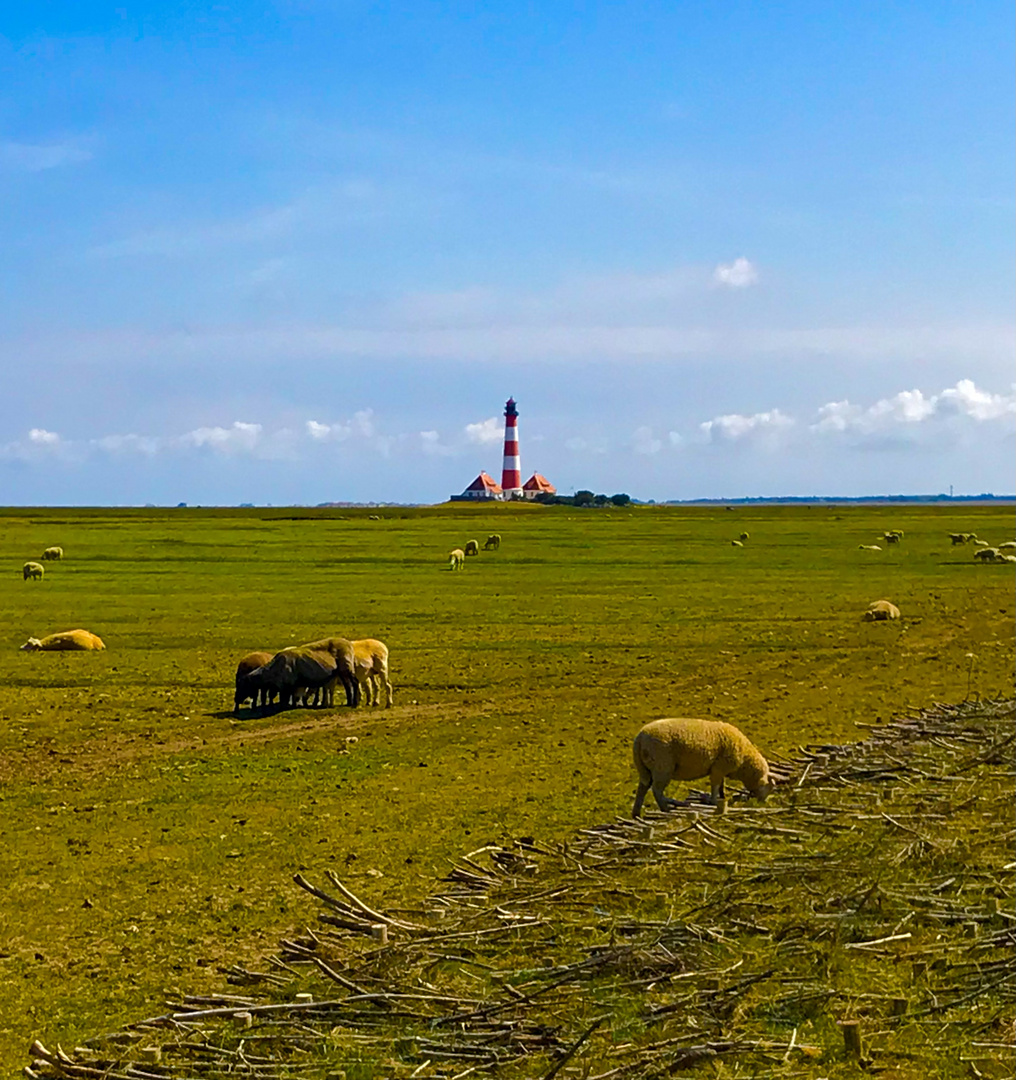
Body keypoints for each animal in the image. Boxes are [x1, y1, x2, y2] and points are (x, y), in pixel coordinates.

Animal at [630, 717, 773, 816]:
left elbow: (721, 785)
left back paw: (636, 813)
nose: (762, 803)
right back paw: (667, 807)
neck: (744, 761)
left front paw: (722, 797)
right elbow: (715, 786)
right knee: (657, 790)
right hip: (662, 766)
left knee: (643, 788)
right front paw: (714, 801)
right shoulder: (718, 768)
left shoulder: (720, 769)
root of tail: (640, 738)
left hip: (644, 768)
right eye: (766, 788)